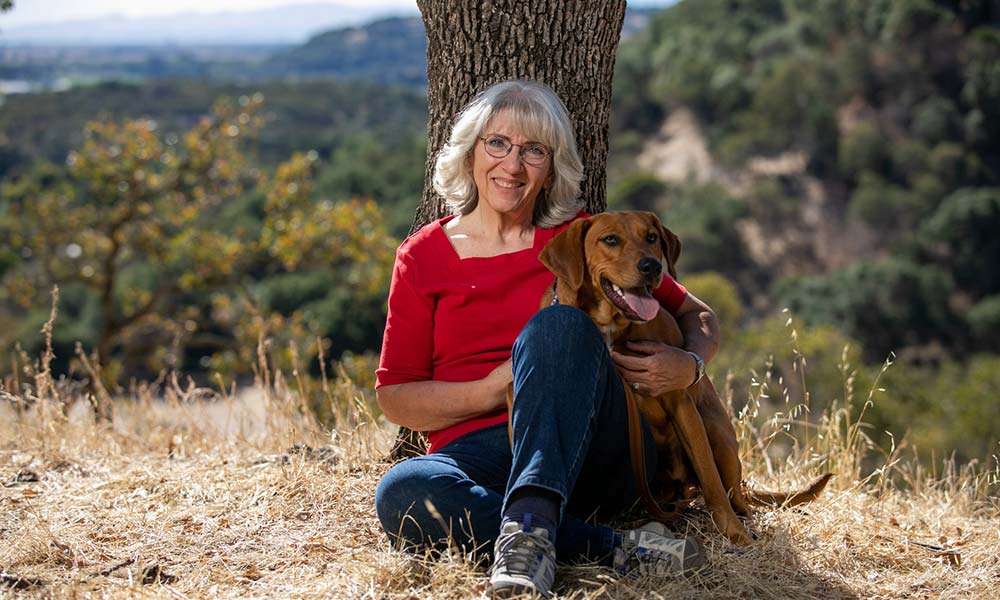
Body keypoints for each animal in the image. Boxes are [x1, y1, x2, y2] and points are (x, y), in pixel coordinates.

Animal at [528, 213, 832, 548]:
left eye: (651, 237)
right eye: (610, 240)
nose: (651, 266)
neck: (611, 325)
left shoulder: (681, 403)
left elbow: (711, 480)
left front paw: (734, 534)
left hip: (717, 432)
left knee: (736, 495)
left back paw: (740, 516)